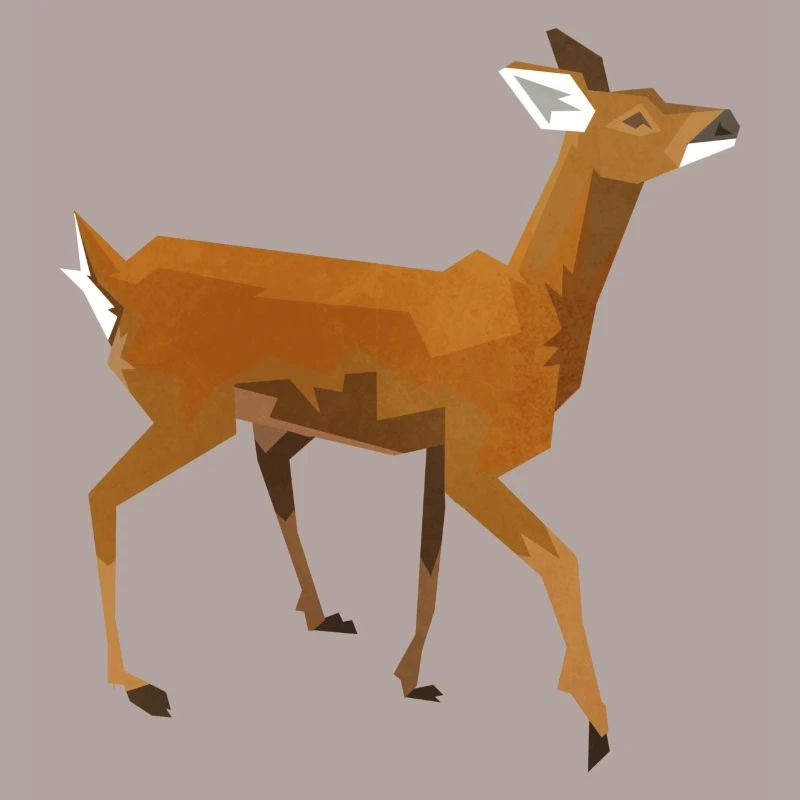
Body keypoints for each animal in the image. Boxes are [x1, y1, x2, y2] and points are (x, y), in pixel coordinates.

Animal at [62, 29, 738, 770]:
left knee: (266, 474)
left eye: (664, 93)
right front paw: (596, 733)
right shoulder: (475, 458)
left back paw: (322, 614)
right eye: (636, 116)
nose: (725, 121)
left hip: (272, 415)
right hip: (189, 413)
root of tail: (117, 282)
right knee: (102, 495)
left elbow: (430, 564)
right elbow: (563, 560)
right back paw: (140, 685)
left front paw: (411, 678)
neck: (534, 313)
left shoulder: (438, 450)